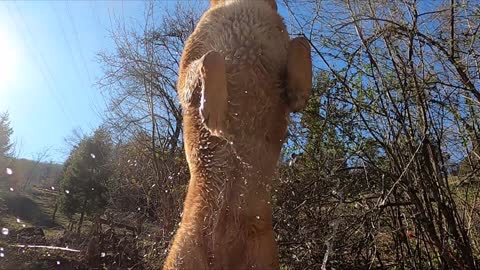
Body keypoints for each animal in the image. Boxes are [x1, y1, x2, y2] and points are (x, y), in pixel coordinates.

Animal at [165, 1, 314, 268]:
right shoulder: (186, 71)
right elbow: (212, 57)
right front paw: (212, 110)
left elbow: (301, 41)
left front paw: (300, 92)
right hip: (183, 256)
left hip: (263, 257)